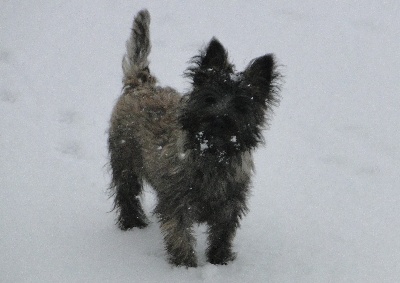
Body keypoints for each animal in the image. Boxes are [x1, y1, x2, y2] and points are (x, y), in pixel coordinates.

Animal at [108, 9, 280, 268]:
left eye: (241, 106)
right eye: (209, 98)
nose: (219, 119)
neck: (213, 155)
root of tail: (140, 84)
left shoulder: (230, 204)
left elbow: (222, 233)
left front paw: (220, 261)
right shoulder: (176, 202)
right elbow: (179, 234)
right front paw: (185, 266)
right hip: (124, 159)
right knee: (127, 192)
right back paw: (133, 224)